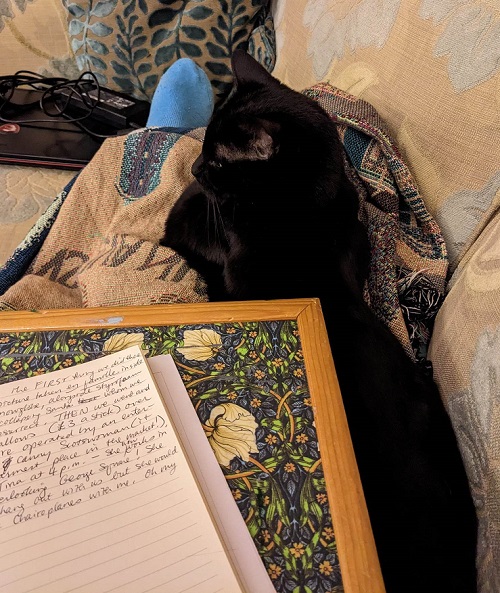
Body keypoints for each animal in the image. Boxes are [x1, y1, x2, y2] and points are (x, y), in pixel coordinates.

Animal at [162, 51, 478, 592]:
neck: (303, 210)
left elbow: (181, 217)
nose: (197, 167)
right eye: (204, 147)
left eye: (218, 160)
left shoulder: (201, 229)